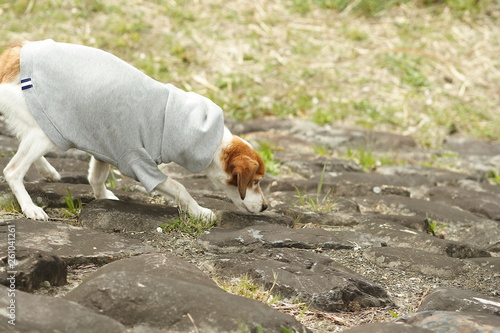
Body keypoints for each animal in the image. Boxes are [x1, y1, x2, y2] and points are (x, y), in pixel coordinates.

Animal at [0, 39, 268, 220]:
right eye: (255, 182)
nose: (266, 207)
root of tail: (14, 52)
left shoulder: (103, 146)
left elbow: (96, 177)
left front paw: (103, 197)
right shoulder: (137, 162)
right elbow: (180, 188)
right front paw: (200, 211)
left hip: (44, 130)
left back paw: (48, 171)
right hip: (45, 134)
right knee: (13, 171)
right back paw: (30, 207)